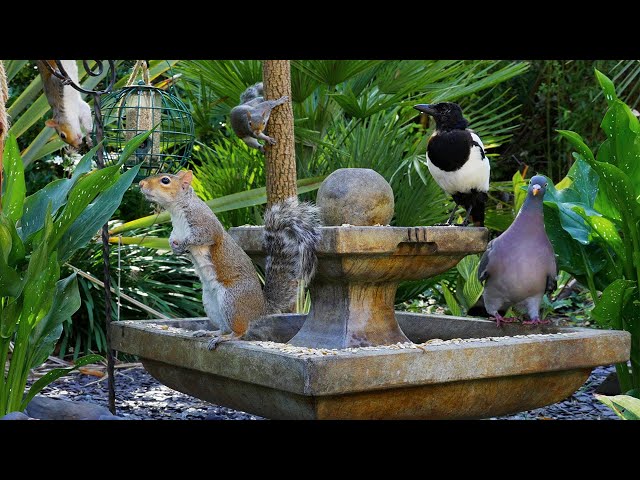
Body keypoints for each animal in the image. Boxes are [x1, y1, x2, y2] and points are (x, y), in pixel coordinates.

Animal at [139, 169, 321, 349]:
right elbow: (173, 240)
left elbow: (203, 237)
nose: (140, 184)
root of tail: (260, 308)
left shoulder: (205, 225)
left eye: (165, 180)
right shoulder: (175, 232)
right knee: (224, 327)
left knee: (239, 332)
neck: (177, 212)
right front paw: (175, 247)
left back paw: (225, 338)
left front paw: (185, 244)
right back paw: (211, 333)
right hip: (211, 304)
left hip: (232, 301)